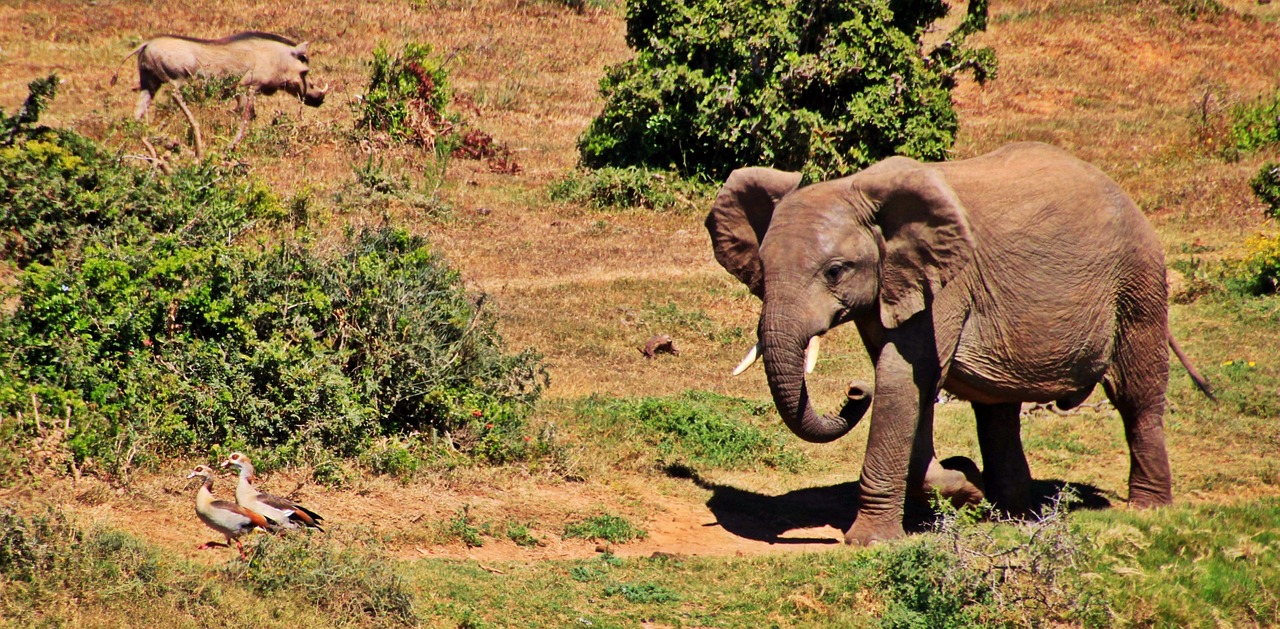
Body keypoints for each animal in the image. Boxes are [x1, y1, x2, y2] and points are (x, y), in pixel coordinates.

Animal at [706, 142, 1213, 545]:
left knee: (1136, 395)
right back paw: (1013, 514)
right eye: (763, 270)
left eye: (835, 271)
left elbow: (903, 381)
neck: (865, 192)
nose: (853, 391)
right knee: (998, 409)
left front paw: (871, 540)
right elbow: (912, 390)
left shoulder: (947, 284)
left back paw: (1148, 510)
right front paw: (967, 486)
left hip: (1138, 281)